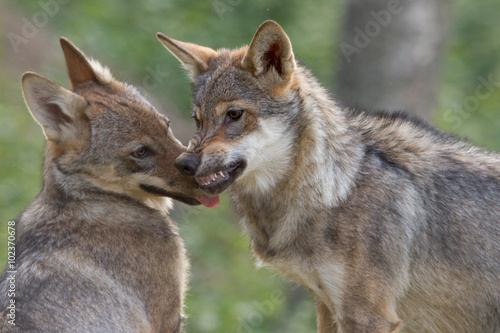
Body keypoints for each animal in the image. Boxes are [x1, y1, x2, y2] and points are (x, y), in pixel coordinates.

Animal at [157, 20, 500, 332]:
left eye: (234, 115)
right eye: (197, 120)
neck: (335, 190)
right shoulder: (327, 306)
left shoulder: (369, 316)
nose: (184, 163)